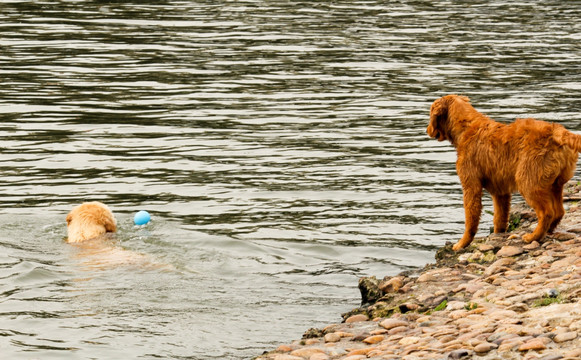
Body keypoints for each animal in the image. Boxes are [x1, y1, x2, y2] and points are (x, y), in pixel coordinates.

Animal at [426, 96, 580, 250]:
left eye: (430, 112)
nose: (427, 130)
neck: (466, 128)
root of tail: (556, 131)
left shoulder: (471, 182)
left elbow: (471, 216)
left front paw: (461, 243)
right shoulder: (500, 189)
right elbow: (499, 217)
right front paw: (497, 234)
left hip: (528, 178)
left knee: (547, 212)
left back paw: (532, 236)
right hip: (556, 181)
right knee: (559, 210)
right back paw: (548, 231)